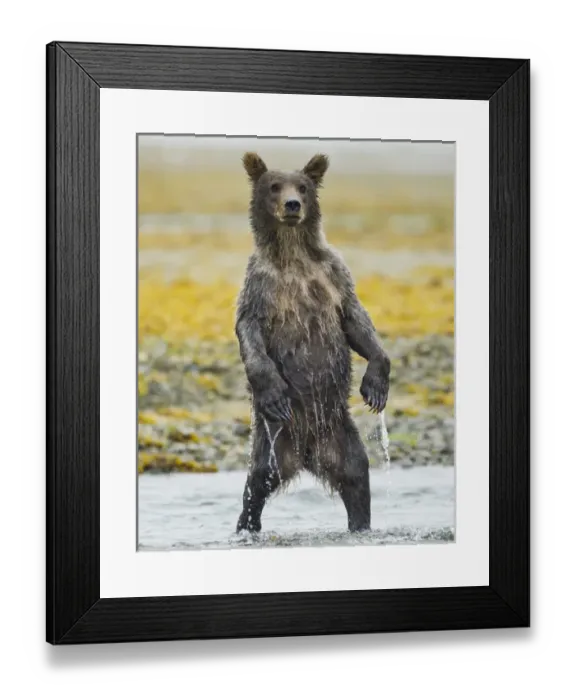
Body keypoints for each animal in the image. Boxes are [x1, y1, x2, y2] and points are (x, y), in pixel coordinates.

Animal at [235, 151, 391, 534]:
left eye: (303, 187)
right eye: (275, 185)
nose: (292, 204)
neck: (293, 256)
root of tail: (305, 457)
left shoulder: (333, 274)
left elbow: (355, 319)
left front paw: (376, 384)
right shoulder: (259, 286)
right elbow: (250, 330)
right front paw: (273, 390)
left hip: (340, 435)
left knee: (357, 478)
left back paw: (360, 526)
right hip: (273, 441)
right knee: (256, 485)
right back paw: (246, 527)